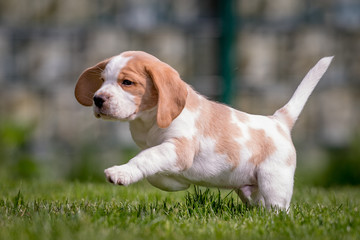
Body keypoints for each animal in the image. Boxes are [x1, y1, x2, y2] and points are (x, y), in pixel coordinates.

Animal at [74, 51, 334, 210]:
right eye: (102, 80)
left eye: (127, 82)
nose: (97, 99)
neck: (147, 122)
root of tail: (278, 121)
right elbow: (155, 173)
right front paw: (178, 183)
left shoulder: (178, 148)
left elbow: (146, 158)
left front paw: (122, 172)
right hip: (251, 189)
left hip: (274, 181)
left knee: (279, 209)